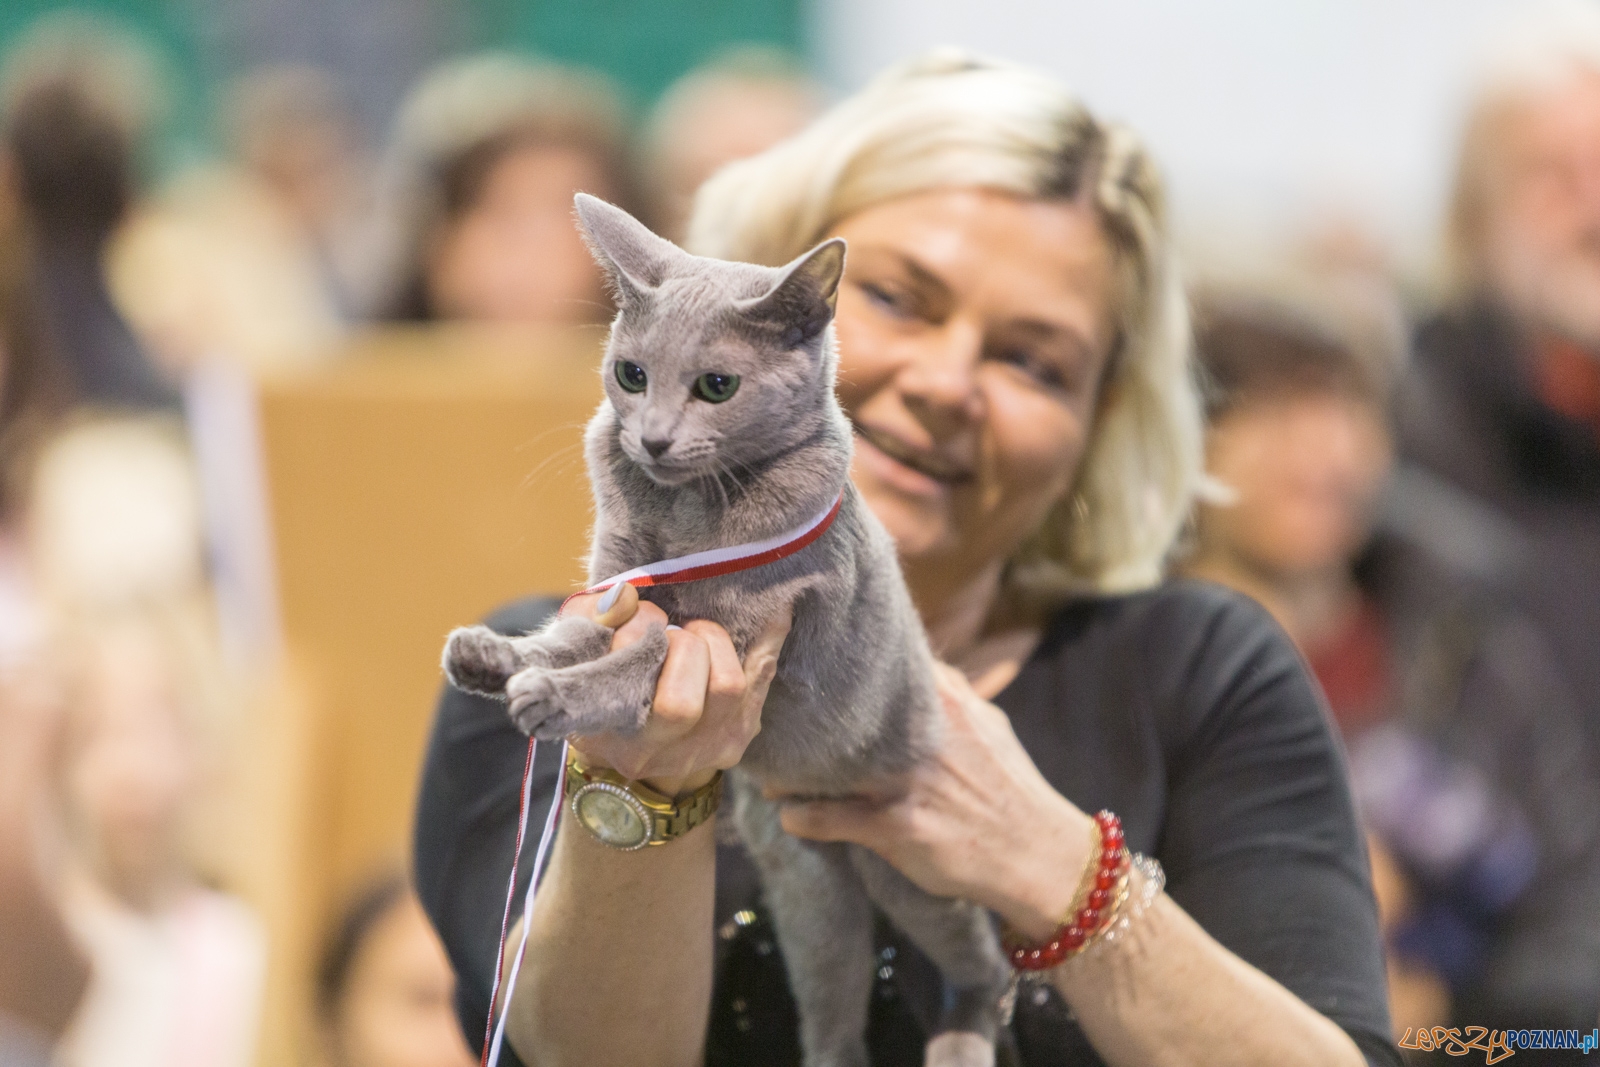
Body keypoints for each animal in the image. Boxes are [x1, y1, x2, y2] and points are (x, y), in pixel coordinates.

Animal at [444, 194, 1004, 1067]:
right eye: (631, 374)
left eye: (716, 385)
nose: (652, 437)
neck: (683, 518)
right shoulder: (620, 581)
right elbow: (578, 636)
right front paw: (496, 657)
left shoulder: (743, 631)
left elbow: (636, 665)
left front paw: (553, 696)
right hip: (812, 897)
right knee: (836, 1008)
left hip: (913, 870)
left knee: (990, 964)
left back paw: (960, 1040)